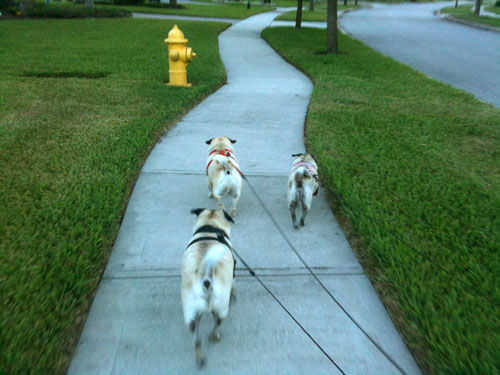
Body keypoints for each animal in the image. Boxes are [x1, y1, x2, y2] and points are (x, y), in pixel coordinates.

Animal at [182, 209, 236, 370]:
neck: (210, 227)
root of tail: (205, 274)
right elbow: (234, 283)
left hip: (191, 313)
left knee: (196, 340)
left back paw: (200, 359)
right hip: (222, 307)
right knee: (217, 323)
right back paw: (214, 336)